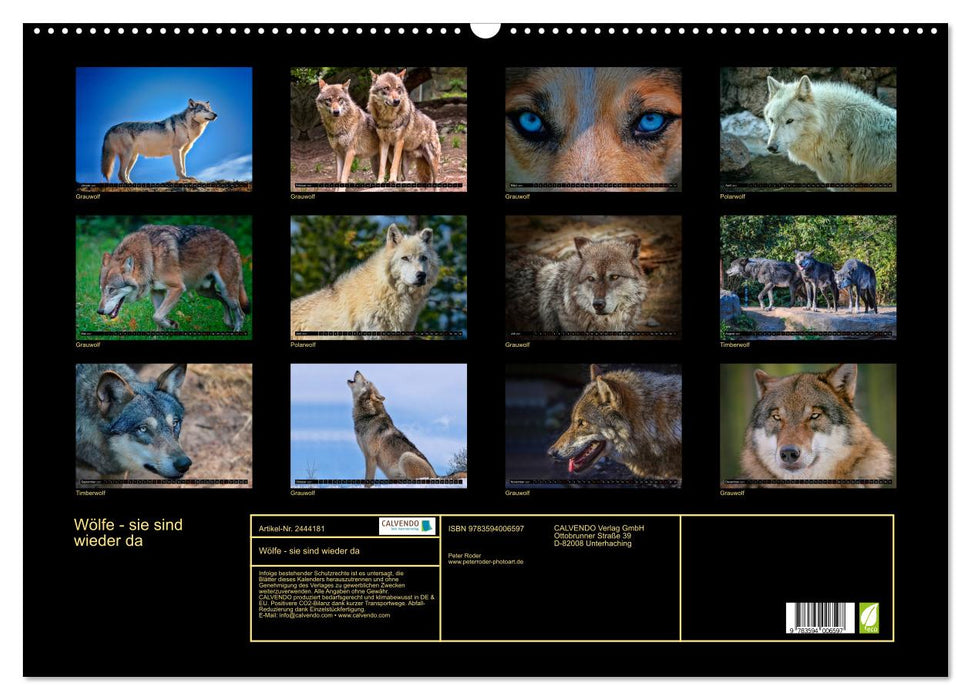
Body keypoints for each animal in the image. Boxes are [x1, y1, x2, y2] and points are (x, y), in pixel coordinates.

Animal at [98, 225, 250, 331]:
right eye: (101, 290)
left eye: (111, 290)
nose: (99, 312)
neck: (152, 258)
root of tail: (230, 239)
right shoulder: (156, 292)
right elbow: (157, 318)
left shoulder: (177, 288)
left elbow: (157, 316)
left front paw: (172, 324)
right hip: (204, 291)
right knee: (223, 300)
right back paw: (228, 322)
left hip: (227, 291)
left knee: (240, 313)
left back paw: (236, 330)